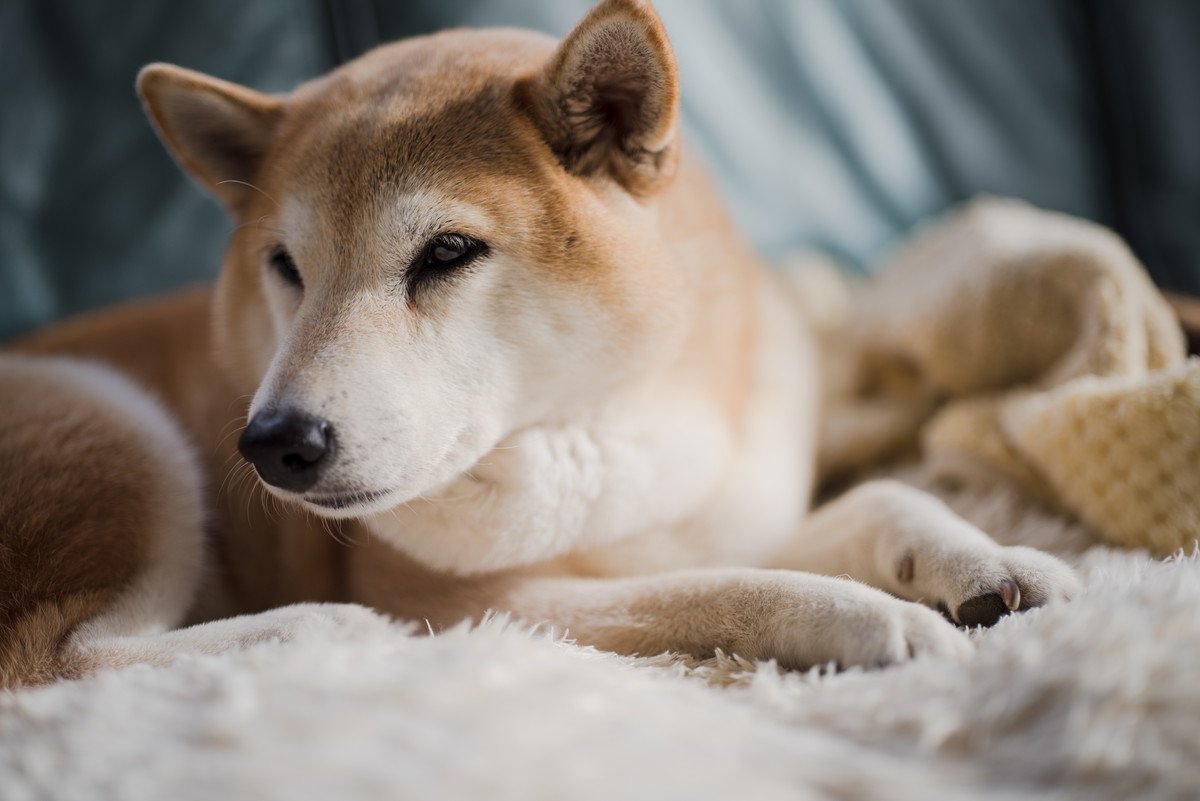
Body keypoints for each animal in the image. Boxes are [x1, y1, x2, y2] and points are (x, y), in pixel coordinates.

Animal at [2, 0, 1080, 690]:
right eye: (284, 265)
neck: (608, 419)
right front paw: (875, 617)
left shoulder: (719, 511)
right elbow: (724, 587)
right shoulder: (493, 599)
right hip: (117, 428)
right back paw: (318, 628)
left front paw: (985, 560)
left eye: (446, 251)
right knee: (54, 659)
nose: (273, 443)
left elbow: (876, 497)